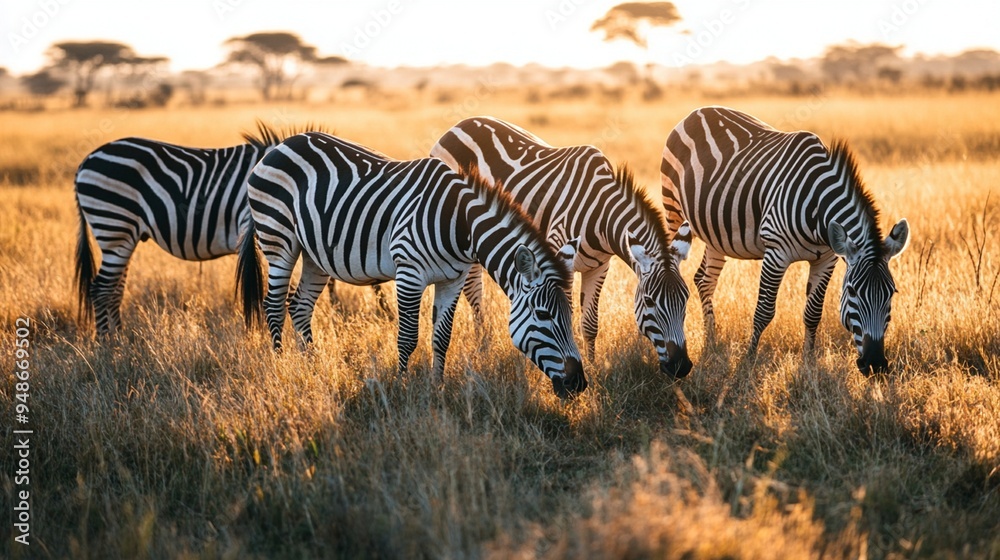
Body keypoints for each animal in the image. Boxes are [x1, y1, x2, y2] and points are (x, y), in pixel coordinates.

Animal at [74, 122, 319, 336]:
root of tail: (86, 160)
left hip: (122, 236)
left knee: (115, 289)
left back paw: (119, 338)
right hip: (113, 226)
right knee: (101, 289)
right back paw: (106, 343)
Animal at [235, 132, 587, 397]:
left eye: (570, 314)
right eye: (542, 315)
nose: (579, 384)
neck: (460, 224)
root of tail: (278, 146)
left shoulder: (453, 279)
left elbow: (442, 337)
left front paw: (437, 388)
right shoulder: (409, 273)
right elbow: (407, 336)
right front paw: (403, 386)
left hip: (314, 254)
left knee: (300, 306)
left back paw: (312, 365)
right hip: (278, 238)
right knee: (274, 305)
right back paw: (280, 365)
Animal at [430, 117, 693, 378]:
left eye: (686, 298)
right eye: (649, 301)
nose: (681, 366)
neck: (601, 214)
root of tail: (458, 126)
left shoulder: (599, 267)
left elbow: (590, 323)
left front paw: (593, 368)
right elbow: (563, 315)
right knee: (474, 296)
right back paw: (483, 348)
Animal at [660, 106, 909, 374]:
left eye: (892, 292)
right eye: (852, 291)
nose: (875, 363)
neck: (818, 211)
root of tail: (698, 111)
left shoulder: (827, 258)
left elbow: (813, 312)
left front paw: (808, 361)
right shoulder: (776, 253)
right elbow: (764, 311)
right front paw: (748, 361)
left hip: (715, 233)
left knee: (704, 280)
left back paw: (711, 342)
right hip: (674, 213)